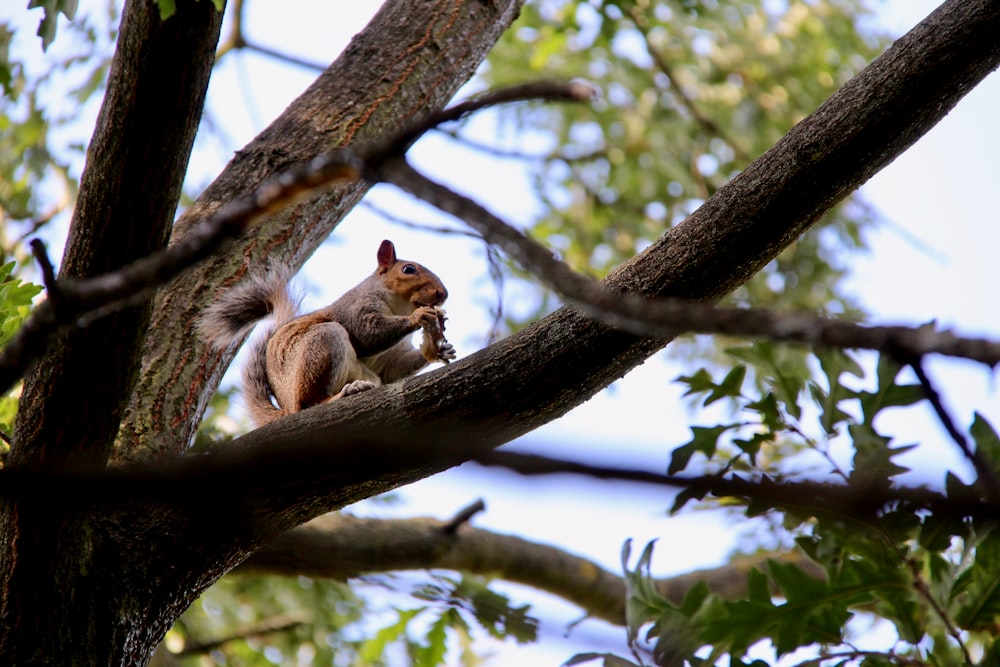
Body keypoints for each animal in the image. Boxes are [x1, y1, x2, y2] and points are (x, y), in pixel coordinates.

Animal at [197, 240, 456, 428]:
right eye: (408, 269)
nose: (443, 294)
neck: (398, 307)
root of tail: (286, 408)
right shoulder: (356, 308)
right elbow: (367, 334)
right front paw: (418, 317)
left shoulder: (391, 360)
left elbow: (394, 368)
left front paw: (439, 350)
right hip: (323, 344)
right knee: (309, 403)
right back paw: (342, 394)